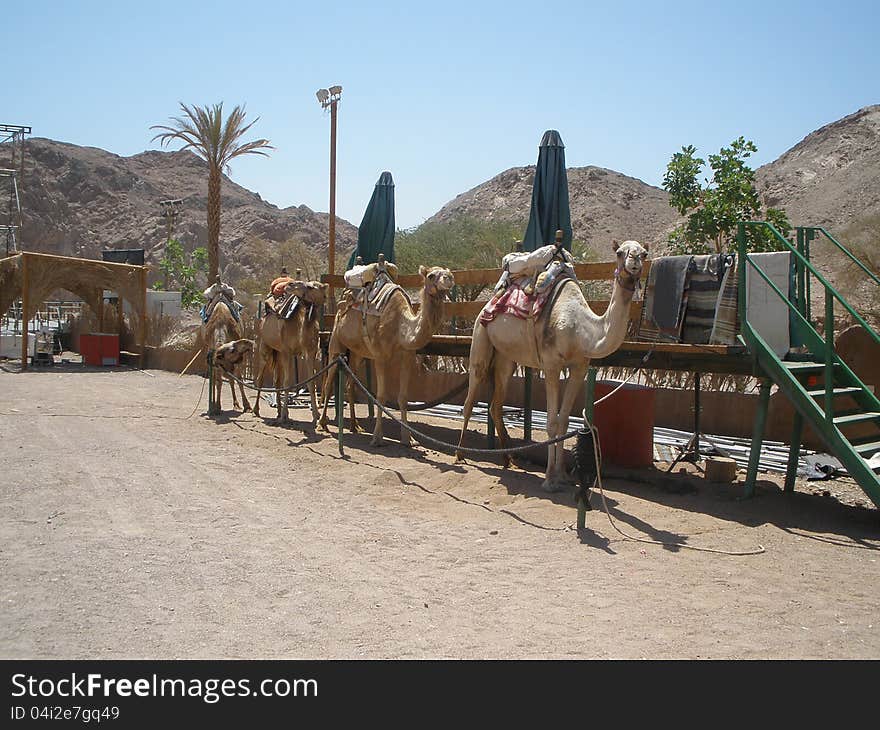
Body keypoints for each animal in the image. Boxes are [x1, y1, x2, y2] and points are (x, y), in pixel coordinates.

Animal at [254, 280, 330, 426]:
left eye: (311, 287)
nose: (290, 284)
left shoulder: (310, 351)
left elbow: (311, 382)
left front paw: (316, 416)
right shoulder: (287, 351)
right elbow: (287, 382)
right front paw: (284, 416)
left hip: (277, 353)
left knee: (276, 381)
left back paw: (278, 411)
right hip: (264, 347)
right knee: (260, 378)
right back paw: (256, 410)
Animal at [318, 264, 454, 446]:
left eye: (448, 273)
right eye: (431, 276)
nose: (449, 278)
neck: (401, 328)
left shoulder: (407, 358)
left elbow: (403, 397)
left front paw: (409, 439)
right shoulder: (380, 356)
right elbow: (381, 397)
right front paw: (377, 438)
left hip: (358, 353)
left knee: (350, 384)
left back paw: (355, 425)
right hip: (336, 341)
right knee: (328, 382)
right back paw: (322, 424)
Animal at [454, 242, 648, 492]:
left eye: (644, 253)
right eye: (619, 253)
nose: (634, 263)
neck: (580, 329)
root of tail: (491, 300)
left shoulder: (579, 368)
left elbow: (564, 421)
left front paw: (563, 476)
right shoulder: (551, 366)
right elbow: (552, 423)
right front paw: (549, 480)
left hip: (506, 358)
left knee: (495, 405)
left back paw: (509, 459)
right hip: (481, 336)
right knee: (470, 398)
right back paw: (460, 454)